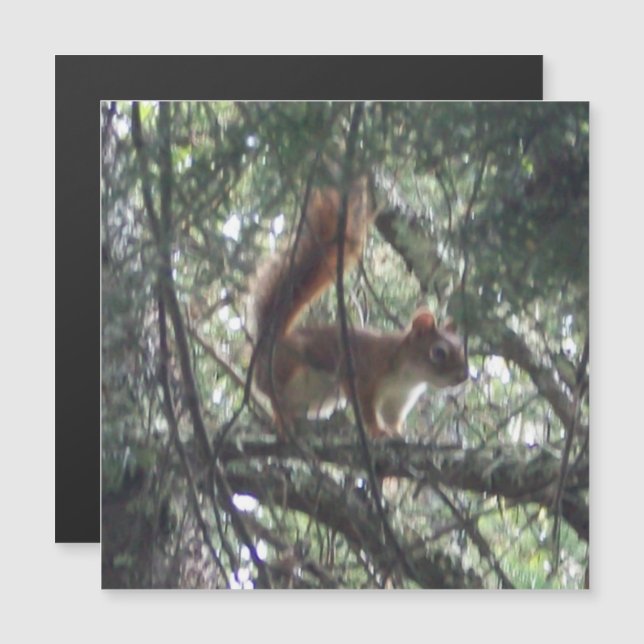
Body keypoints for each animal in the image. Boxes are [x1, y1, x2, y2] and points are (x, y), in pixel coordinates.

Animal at [251, 175, 469, 439]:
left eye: (462, 348)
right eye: (438, 352)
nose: (463, 376)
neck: (408, 374)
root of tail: (269, 343)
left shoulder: (398, 400)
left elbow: (393, 419)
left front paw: (397, 433)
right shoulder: (363, 374)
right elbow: (366, 410)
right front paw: (376, 430)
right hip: (285, 367)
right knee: (273, 395)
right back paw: (282, 418)